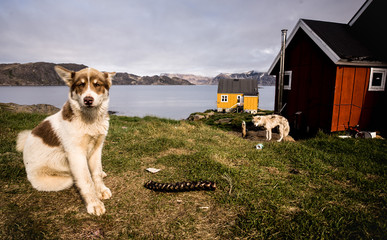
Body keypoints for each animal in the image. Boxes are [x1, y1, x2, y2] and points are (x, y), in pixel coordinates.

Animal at [16, 65, 115, 216]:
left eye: (97, 84)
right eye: (80, 85)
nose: (88, 100)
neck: (90, 120)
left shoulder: (97, 147)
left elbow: (96, 172)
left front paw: (101, 189)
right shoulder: (76, 154)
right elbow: (87, 180)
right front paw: (94, 203)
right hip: (60, 179)